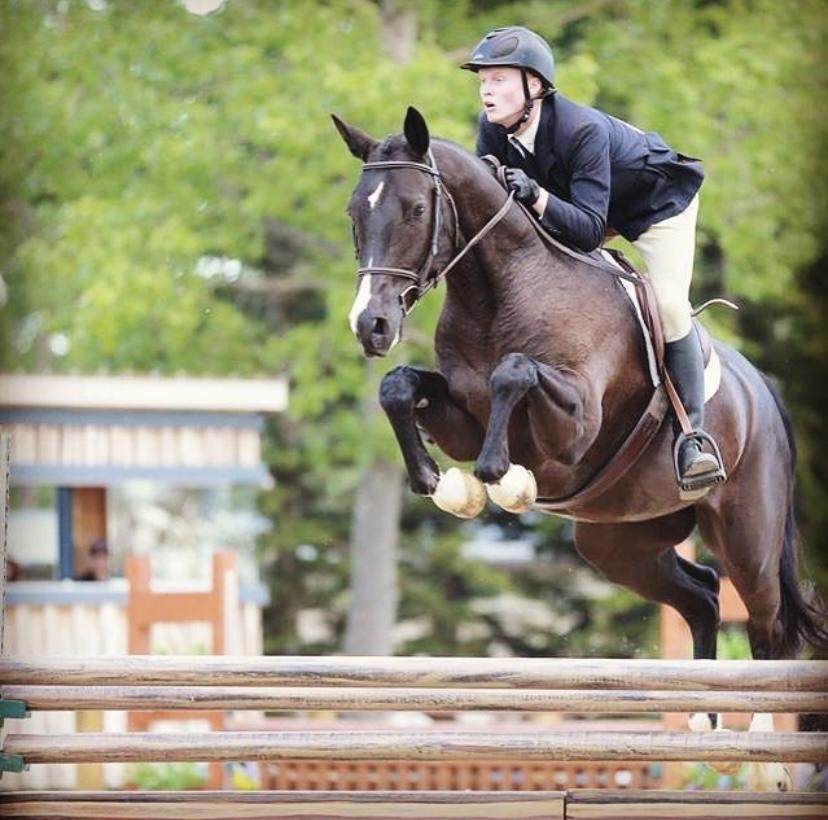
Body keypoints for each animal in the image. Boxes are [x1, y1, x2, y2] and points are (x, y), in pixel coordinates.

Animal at [334, 104, 828, 736]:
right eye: (355, 212)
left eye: (417, 210)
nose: (370, 326)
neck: (500, 288)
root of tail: (763, 390)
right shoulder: (460, 418)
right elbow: (399, 387)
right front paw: (440, 484)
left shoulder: (573, 428)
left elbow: (514, 373)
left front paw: (503, 479)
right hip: (617, 540)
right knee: (703, 595)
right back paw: (702, 717)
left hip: (748, 536)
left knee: (768, 625)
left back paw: (759, 742)